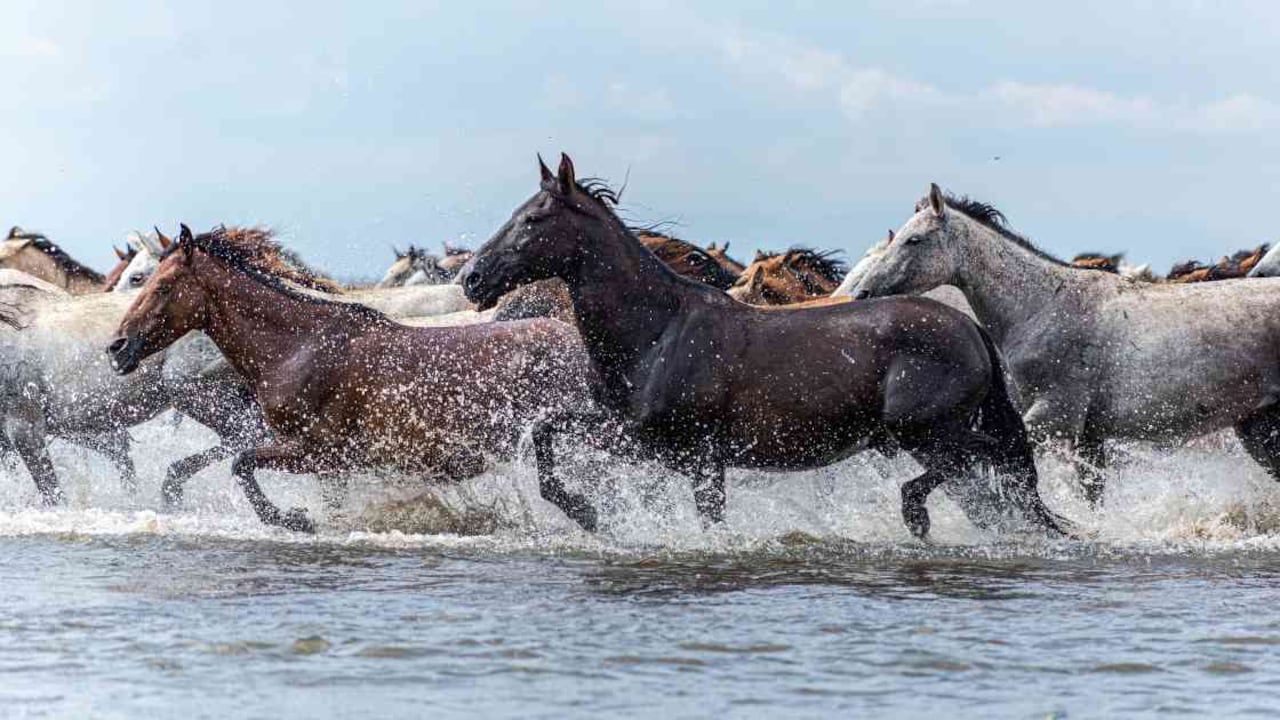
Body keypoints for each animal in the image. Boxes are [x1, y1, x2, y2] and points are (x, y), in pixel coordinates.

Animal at [109, 224, 595, 532]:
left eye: (160, 286)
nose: (117, 348)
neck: (296, 349)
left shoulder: (318, 451)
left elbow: (241, 463)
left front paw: (295, 519)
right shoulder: (329, 463)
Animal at [461, 154, 1066, 539]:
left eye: (533, 219)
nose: (471, 278)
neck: (655, 334)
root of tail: (970, 329)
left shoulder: (701, 456)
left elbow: (711, 519)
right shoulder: (639, 439)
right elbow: (545, 434)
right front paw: (588, 514)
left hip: (923, 431)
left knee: (994, 461)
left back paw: (917, 515)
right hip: (922, 438)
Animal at [852, 184, 1280, 504]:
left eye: (913, 240)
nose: (862, 293)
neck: (1043, 306)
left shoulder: (1056, 417)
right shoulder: (1089, 435)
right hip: (1257, 428)